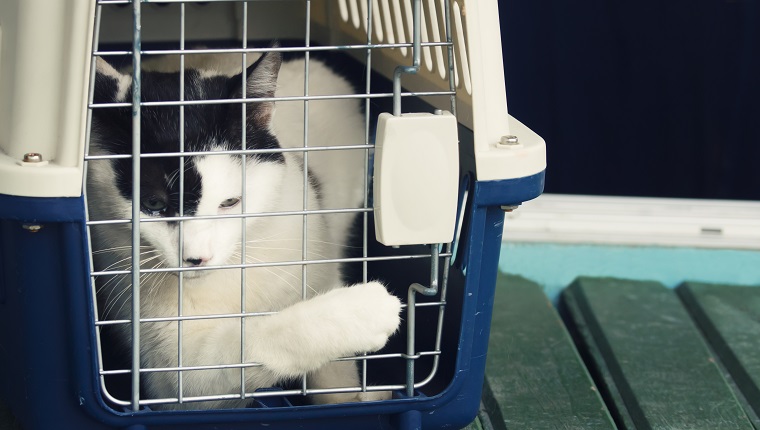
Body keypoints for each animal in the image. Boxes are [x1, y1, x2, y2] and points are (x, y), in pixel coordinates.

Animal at [85, 47, 400, 410]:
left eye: (230, 202)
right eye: (153, 203)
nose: (197, 258)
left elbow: (334, 373)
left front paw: (348, 397)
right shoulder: (174, 380)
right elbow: (247, 343)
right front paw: (361, 310)